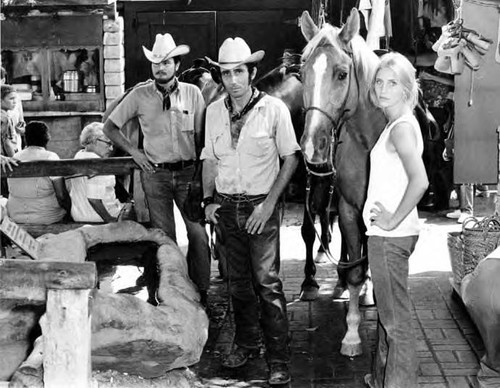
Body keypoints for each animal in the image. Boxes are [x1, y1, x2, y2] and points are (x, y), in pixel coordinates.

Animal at [296, 8, 386, 358]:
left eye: (342, 73)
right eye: (302, 71)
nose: (313, 145)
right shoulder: (348, 209)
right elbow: (356, 268)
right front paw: (351, 334)